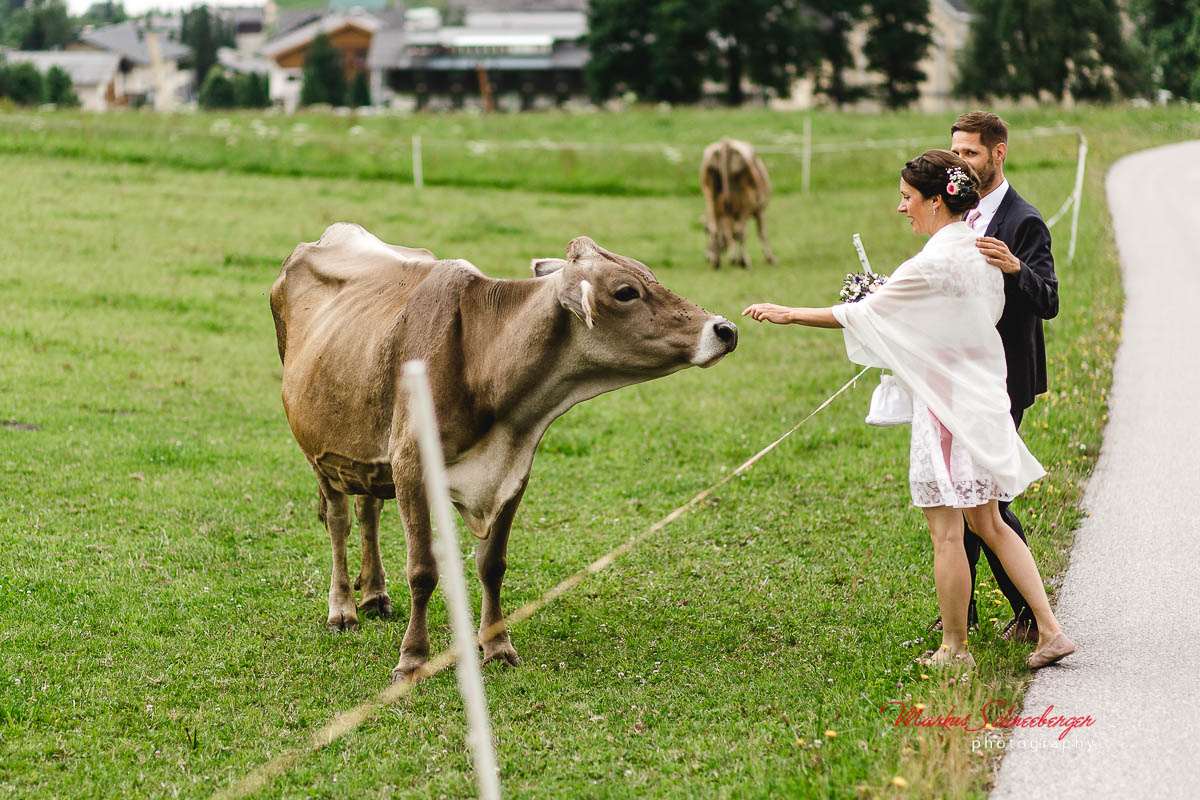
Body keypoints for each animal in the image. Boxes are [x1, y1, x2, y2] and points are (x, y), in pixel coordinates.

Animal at [271, 224, 734, 681]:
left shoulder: (514, 472)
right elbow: (422, 571)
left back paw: (374, 595)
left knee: (368, 509)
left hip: (363, 452)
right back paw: (343, 608)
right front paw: (413, 658)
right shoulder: (410, 465)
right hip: (320, 453)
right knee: (339, 521)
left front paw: (496, 646)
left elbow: (492, 565)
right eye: (625, 292)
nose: (725, 329)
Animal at [696, 137, 777, 272]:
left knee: (716, 229)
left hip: (710, 198)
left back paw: (717, 262)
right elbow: (761, 233)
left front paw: (732, 258)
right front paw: (769, 258)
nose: (707, 257)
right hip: (746, 200)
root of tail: (726, 142)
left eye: (704, 231)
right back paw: (745, 262)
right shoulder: (759, 210)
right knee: (740, 232)